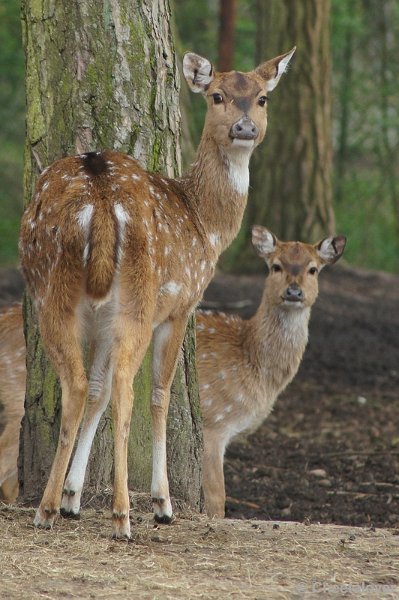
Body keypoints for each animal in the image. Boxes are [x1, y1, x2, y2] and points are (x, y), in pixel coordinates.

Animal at [18, 48, 296, 540]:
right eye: (217, 95)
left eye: (262, 98)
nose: (245, 128)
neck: (206, 228)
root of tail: (100, 201)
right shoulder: (181, 303)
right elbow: (160, 395)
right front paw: (162, 503)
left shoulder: (102, 317)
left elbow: (97, 389)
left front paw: (73, 496)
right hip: (137, 294)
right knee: (126, 386)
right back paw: (117, 515)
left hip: (54, 287)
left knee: (82, 382)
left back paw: (54, 506)